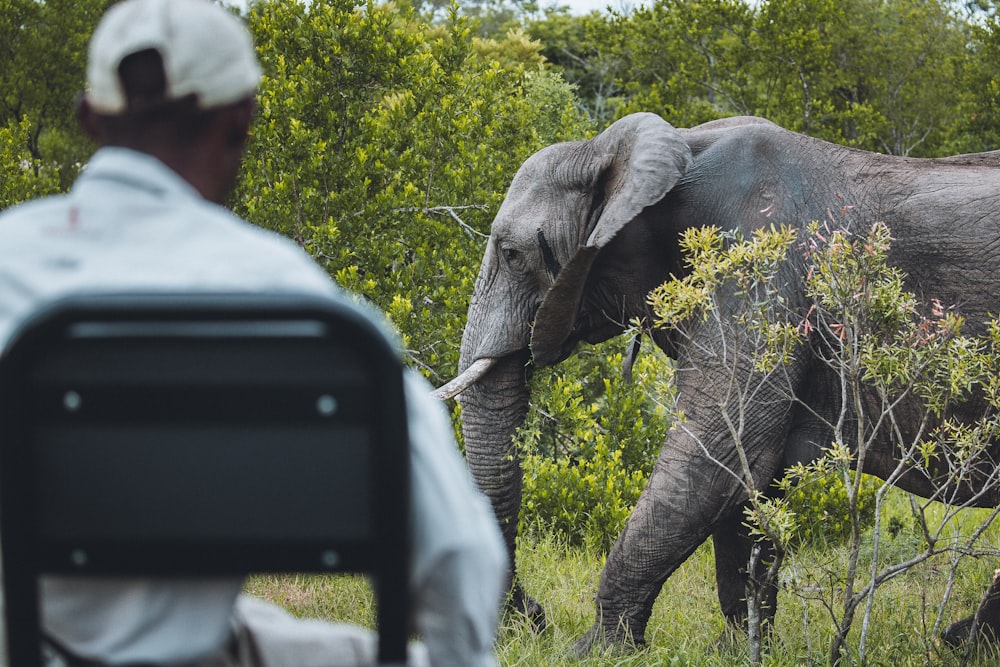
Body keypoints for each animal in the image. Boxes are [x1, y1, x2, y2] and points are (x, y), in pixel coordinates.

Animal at [440, 111, 1000, 652]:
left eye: (512, 254)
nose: (533, 619)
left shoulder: (757, 273)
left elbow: (719, 458)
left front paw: (593, 652)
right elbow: (750, 481)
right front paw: (736, 652)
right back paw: (963, 644)